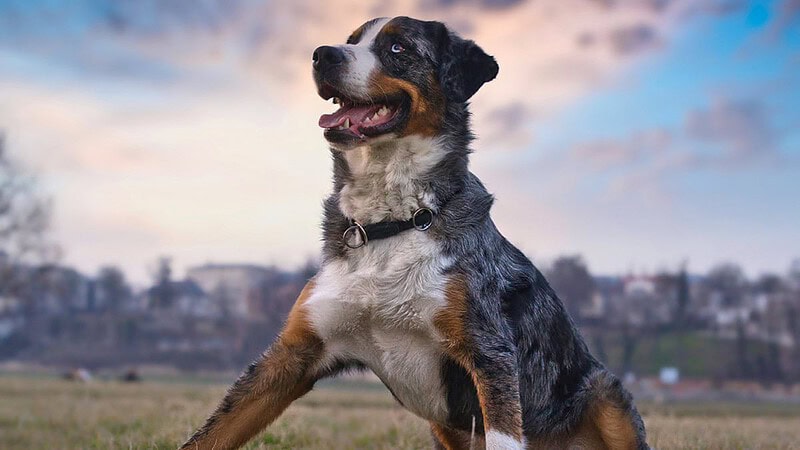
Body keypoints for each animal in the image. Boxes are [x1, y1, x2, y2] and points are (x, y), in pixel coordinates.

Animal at [178, 15, 648, 448]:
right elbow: (214, 430)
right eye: (351, 41)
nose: (322, 54)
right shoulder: (295, 353)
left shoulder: (489, 352)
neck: (391, 224)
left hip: (606, 394)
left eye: (398, 48)